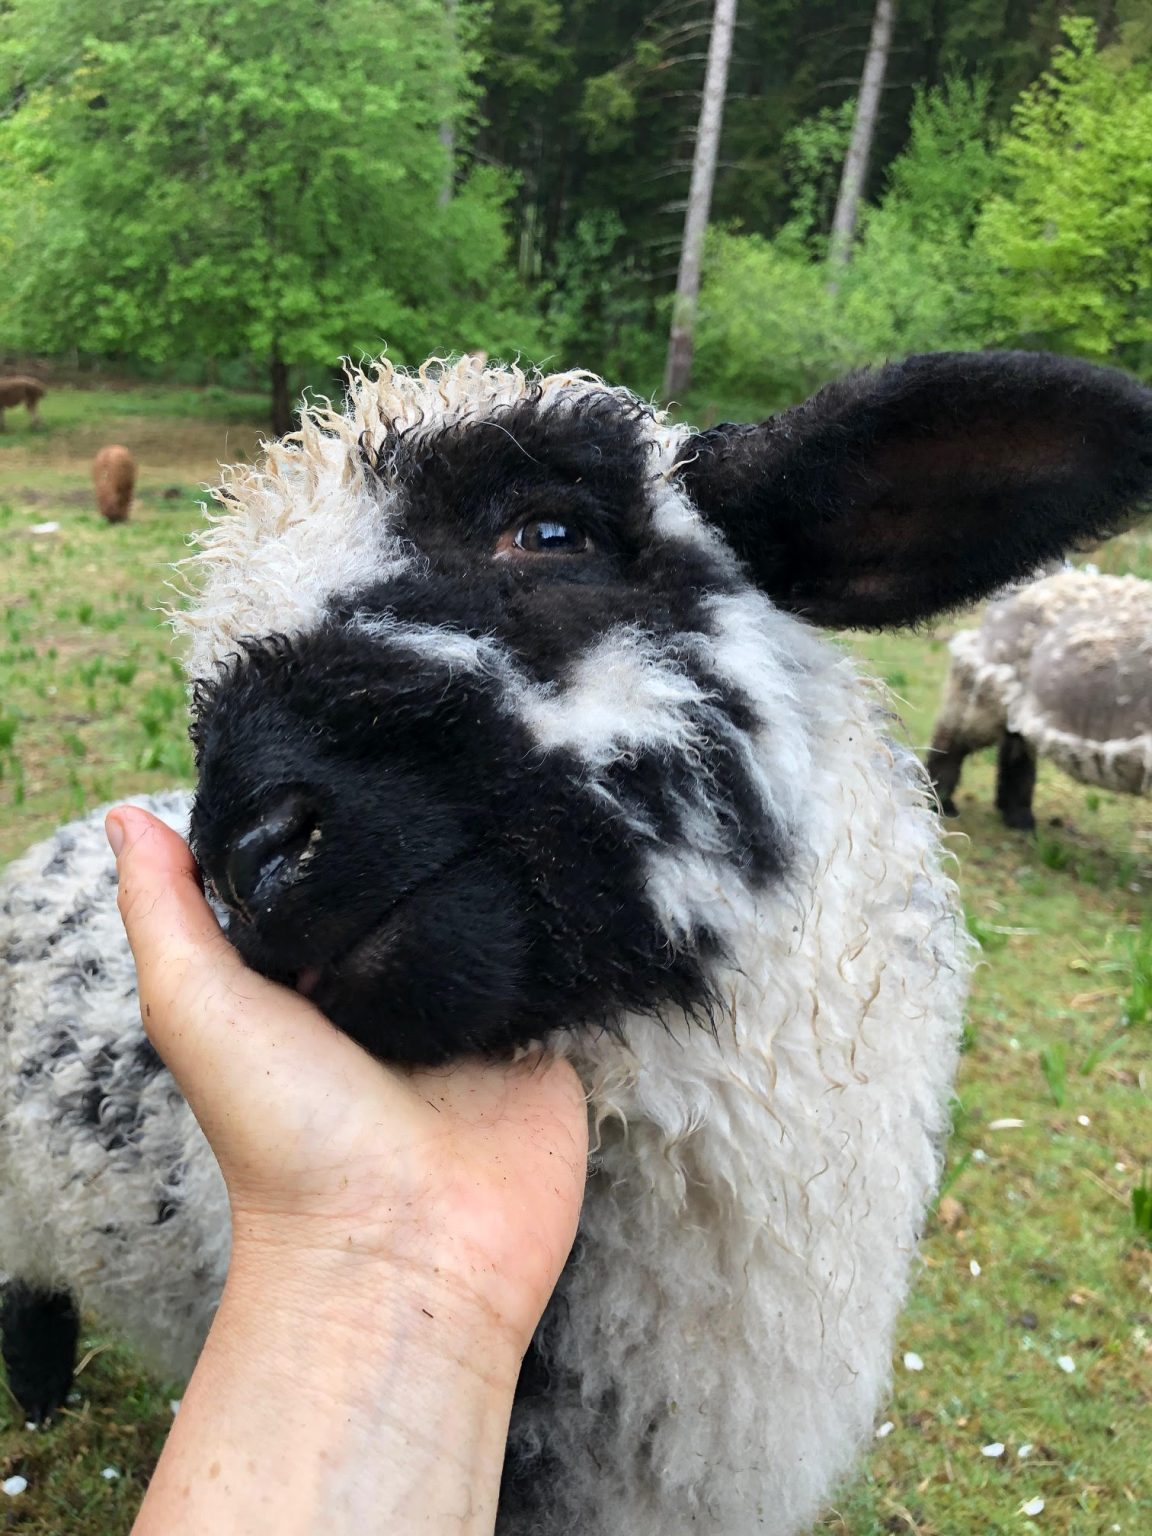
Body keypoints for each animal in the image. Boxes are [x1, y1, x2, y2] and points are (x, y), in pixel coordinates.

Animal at [927, 569, 1152, 830]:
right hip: (984, 687)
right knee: (951, 739)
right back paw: (940, 801)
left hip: (1017, 702)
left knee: (1014, 750)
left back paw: (1017, 817)